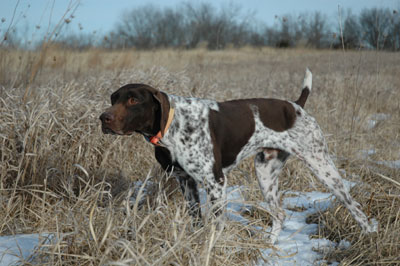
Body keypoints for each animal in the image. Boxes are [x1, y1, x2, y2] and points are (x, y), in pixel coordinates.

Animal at [99, 69, 376, 243]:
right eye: (113, 98)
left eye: (133, 100)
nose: (103, 118)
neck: (173, 126)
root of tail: (297, 105)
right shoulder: (185, 181)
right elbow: (196, 219)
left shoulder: (215, 182)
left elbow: (218, 223)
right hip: (265, 173)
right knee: (279, 214)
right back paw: (269, 247)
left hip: (322, 167)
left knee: (356, 209)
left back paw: (370, 239)